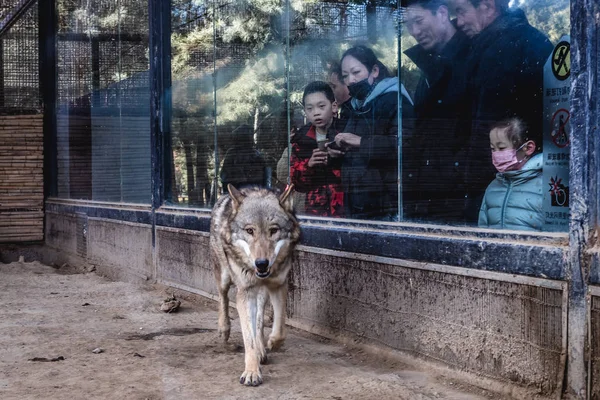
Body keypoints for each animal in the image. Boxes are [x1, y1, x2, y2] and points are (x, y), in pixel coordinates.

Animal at [210, 184, 300, 384]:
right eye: (250, 231)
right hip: (225, 277)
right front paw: (251, 372)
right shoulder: (245, 292)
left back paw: (262, 348)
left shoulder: (278, 286)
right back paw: (224, 329)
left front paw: (272, 343)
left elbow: (279, 328)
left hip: (262, 293)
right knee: (222, 297)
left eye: (273, 230)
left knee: (258, 320)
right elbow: (248, 337)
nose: (261, 263)